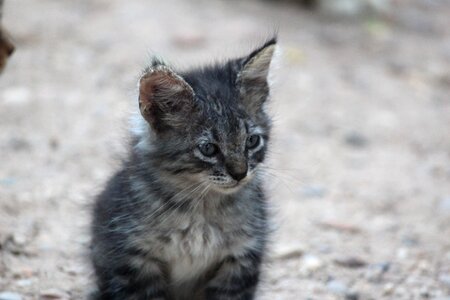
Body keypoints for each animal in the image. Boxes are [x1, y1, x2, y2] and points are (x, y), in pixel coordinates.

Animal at [89, 37, 276, 300]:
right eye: (208, 148)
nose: (240, 174)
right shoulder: (133, 259)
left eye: (252, 141)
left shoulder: (241, 259)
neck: (200, 208)